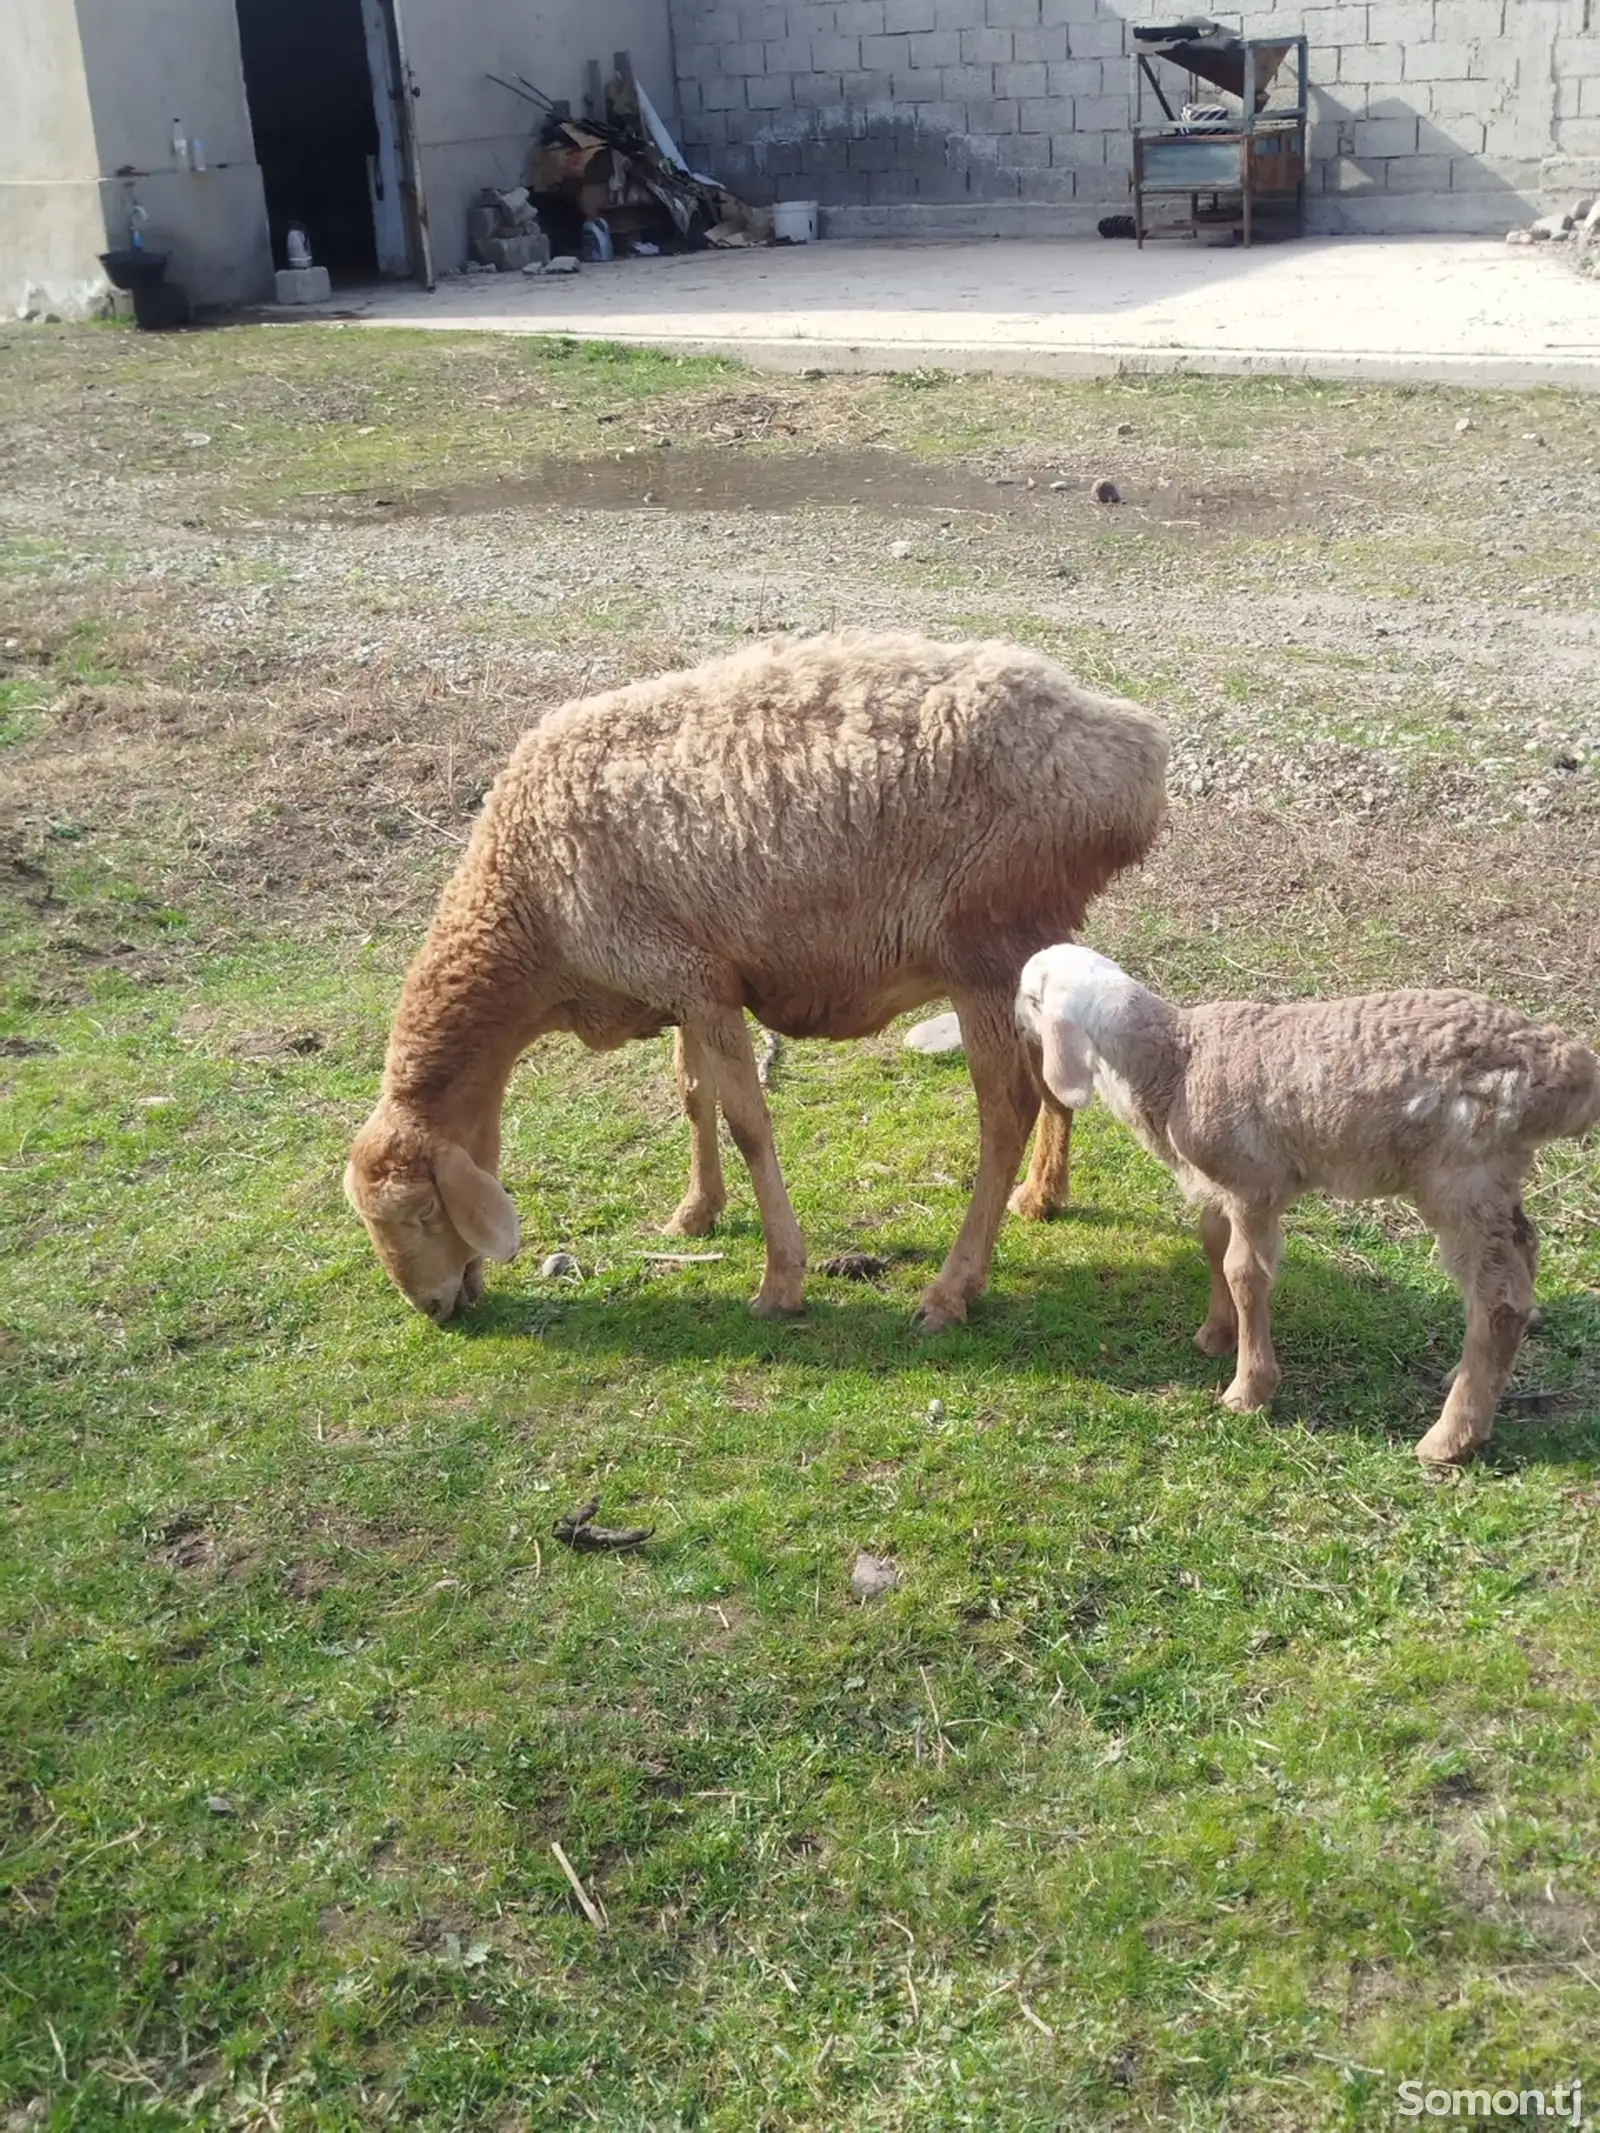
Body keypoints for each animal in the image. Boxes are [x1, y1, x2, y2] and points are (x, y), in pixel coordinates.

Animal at [345, 631, 1169, 1330]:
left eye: (421, 1213)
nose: (433, 1309)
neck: (528, 910)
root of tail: (1132, 749)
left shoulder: (694, 981)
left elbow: (748, 1122)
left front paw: (780, 1281)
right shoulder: (687, 976)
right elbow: (692, 1094)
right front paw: (696, 1212)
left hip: (981, 944)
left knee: (1006, 1110)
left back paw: (952, 1288)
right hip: (1025, 941)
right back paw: (1041, 1195)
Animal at [1019, 951, 1595, 1467]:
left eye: (1028, 997)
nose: (1014, 1024)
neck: (1175, 1060)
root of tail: (1568, 1068)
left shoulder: (1254, 1185)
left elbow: (1244, 1273)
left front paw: (1249, 1389)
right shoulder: (1224, 1184)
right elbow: (1213, 1244)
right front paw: (1216, 1335)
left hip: (1462, 1176)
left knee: (1498, 1300)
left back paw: (1450, 1438)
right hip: (1495, 1177)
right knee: (1523, 1253)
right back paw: (1471, 1375)